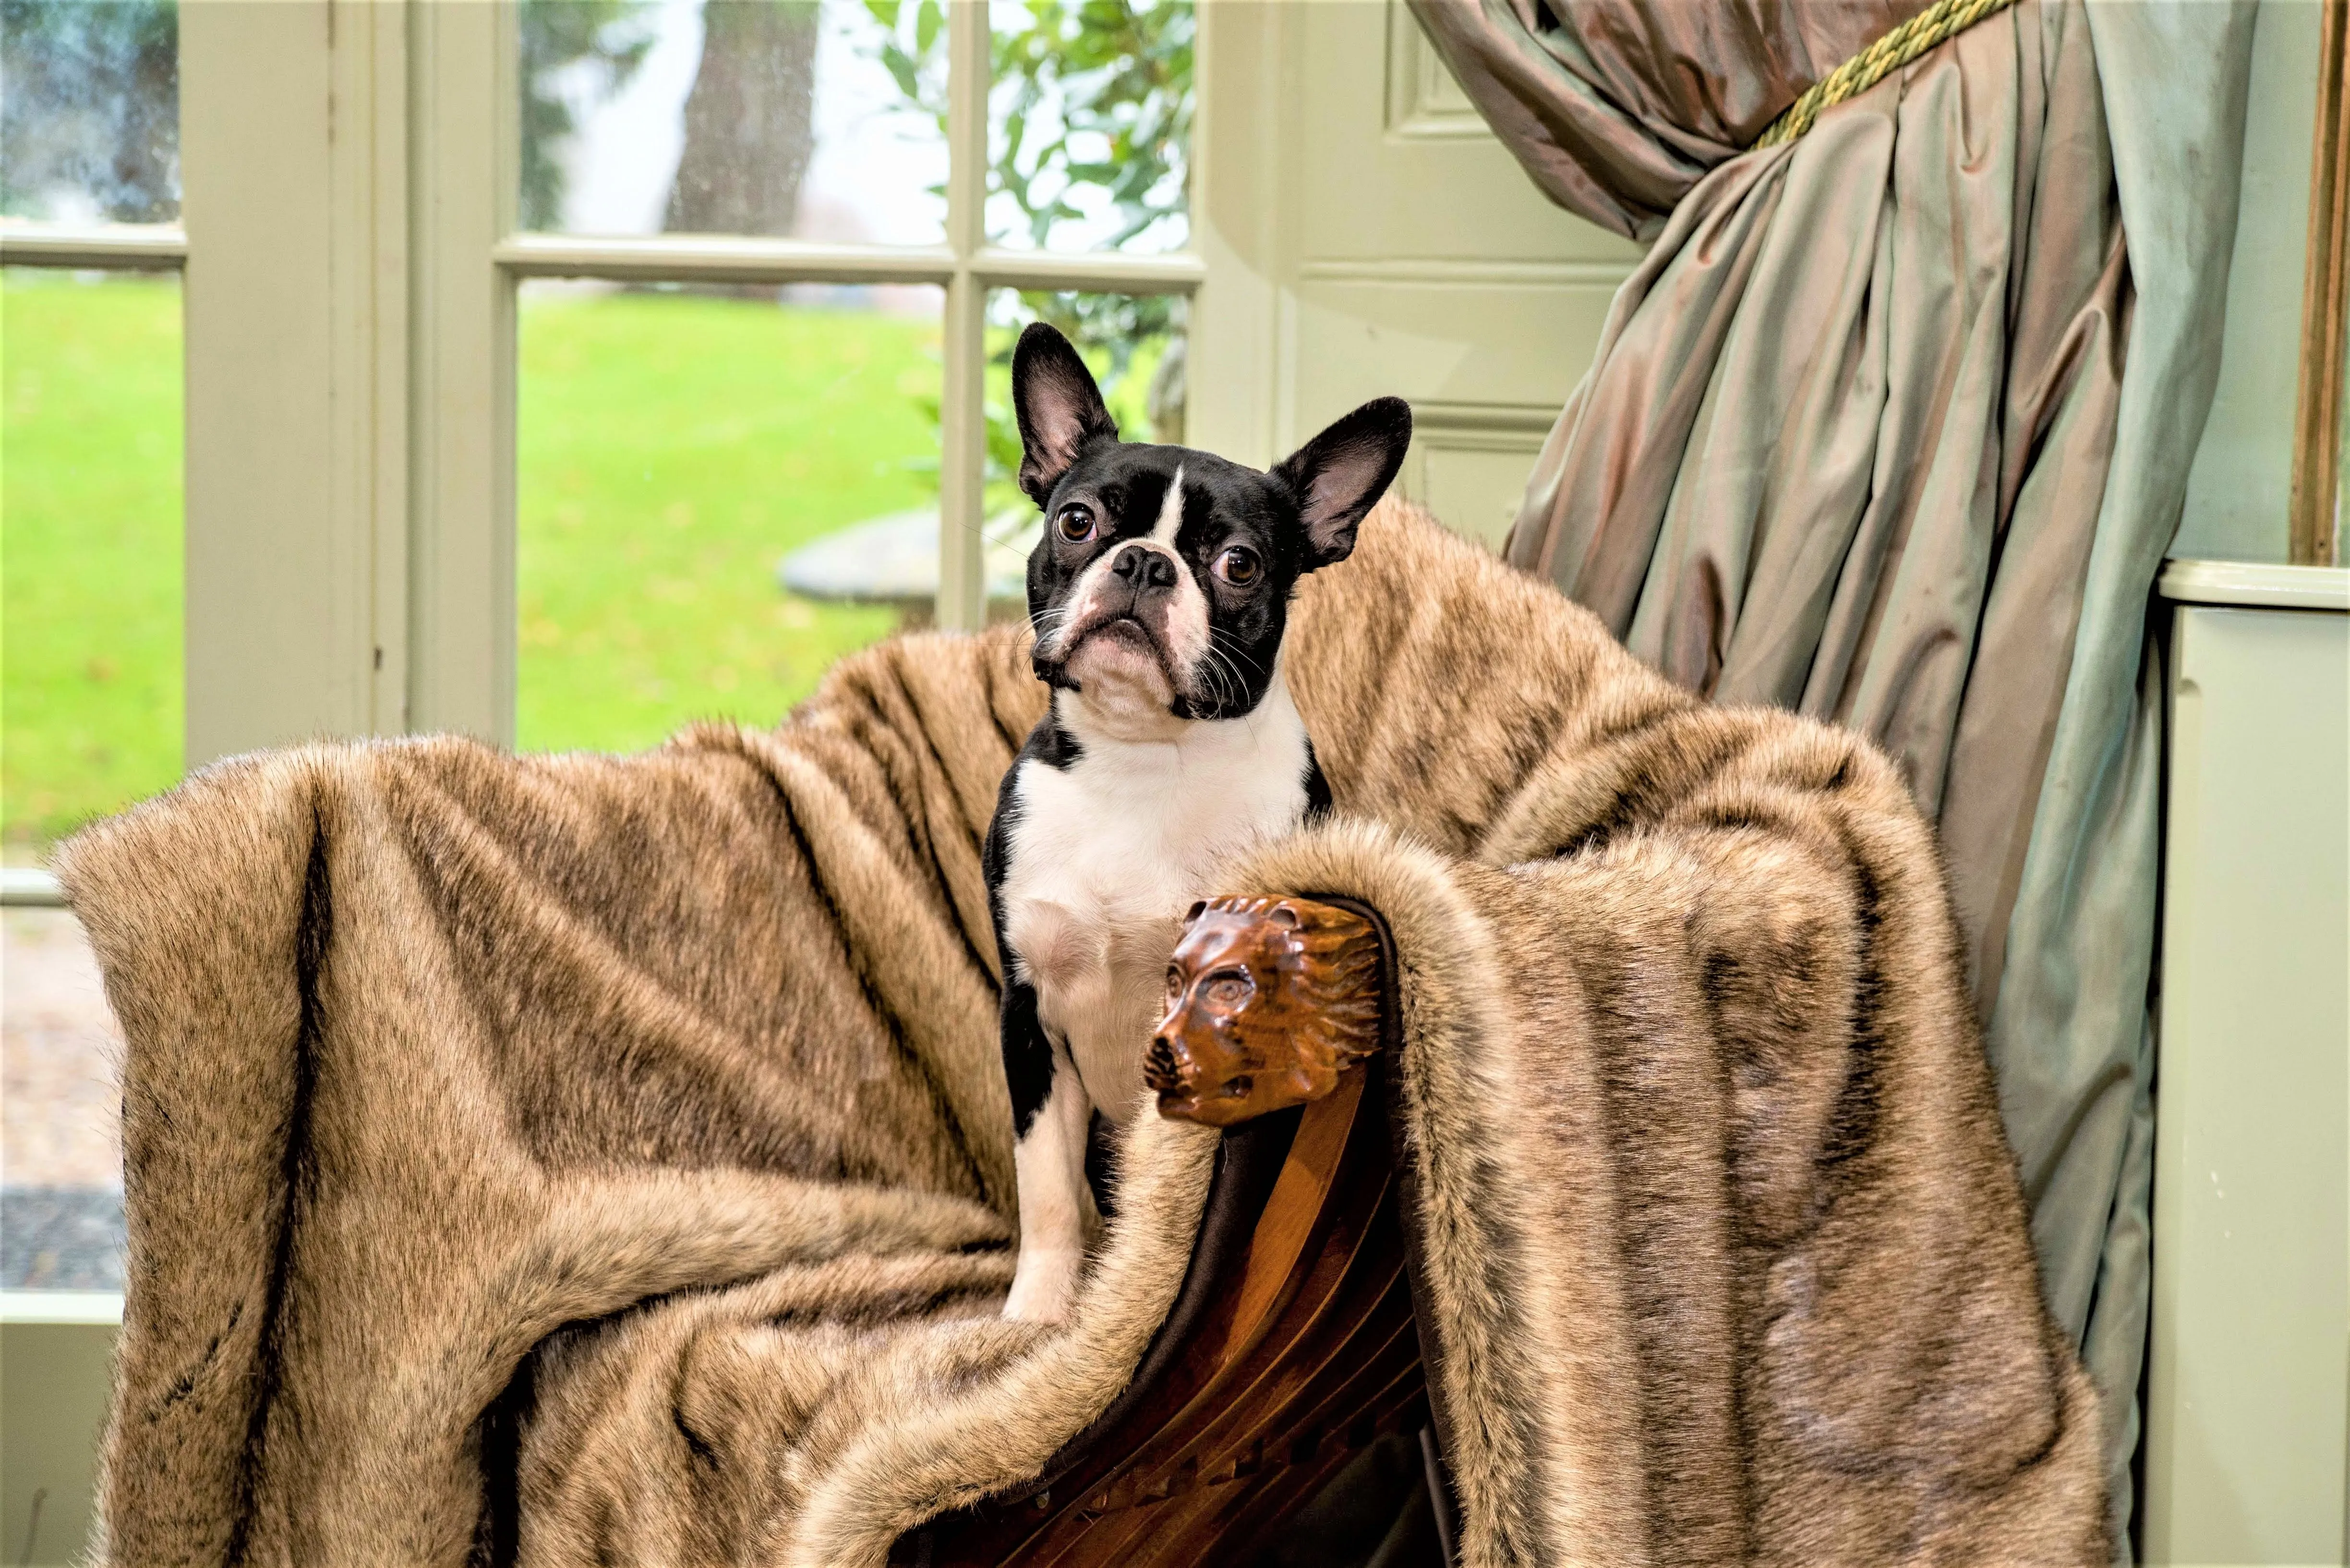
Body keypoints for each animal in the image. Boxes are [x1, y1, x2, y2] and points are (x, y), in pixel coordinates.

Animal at [982, 324, 1400, 1335]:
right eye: (1077, 521)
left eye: (1240, 563)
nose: (1144, 562)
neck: (1143, 760)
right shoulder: (1028, 1016)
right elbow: (1046, 1186)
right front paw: (1039, 1314)